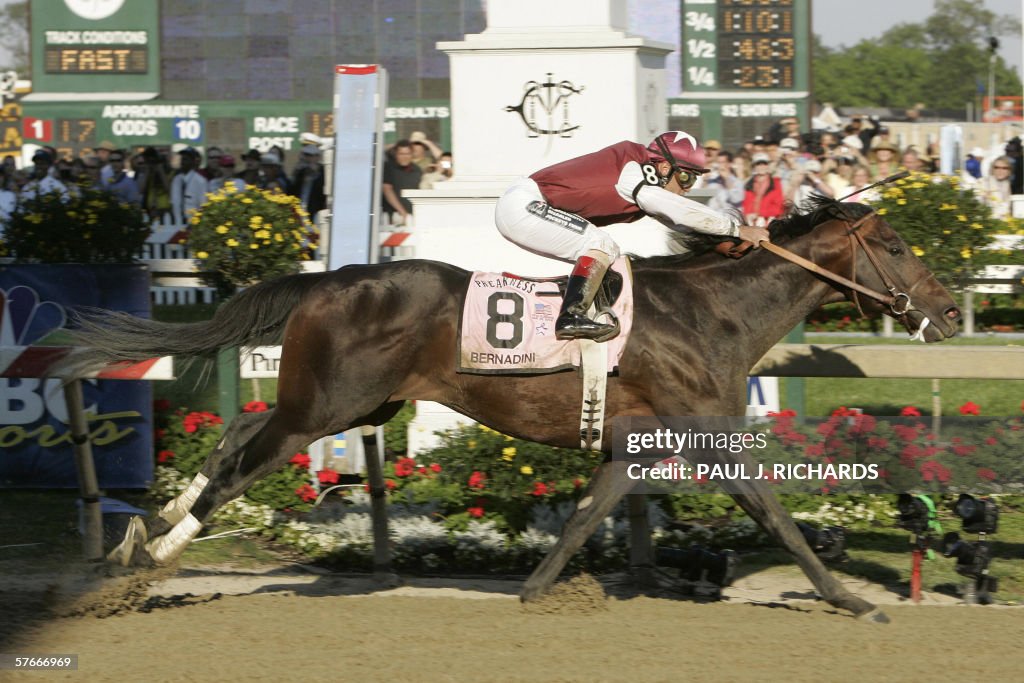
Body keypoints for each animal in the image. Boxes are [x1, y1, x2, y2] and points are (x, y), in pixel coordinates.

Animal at [61, 197, 958, 618]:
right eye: (899, 245)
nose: (949, 314)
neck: (713, 313)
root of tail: (331, 277)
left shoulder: (633, 442)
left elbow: (588, 512)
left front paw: (536, 591)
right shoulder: (704, 431)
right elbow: (775, 514)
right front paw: (850, 599)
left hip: (354, 404)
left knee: (242, 432)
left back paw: (155, 520)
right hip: (327, 406)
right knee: (249, 459)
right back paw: (156, 545)